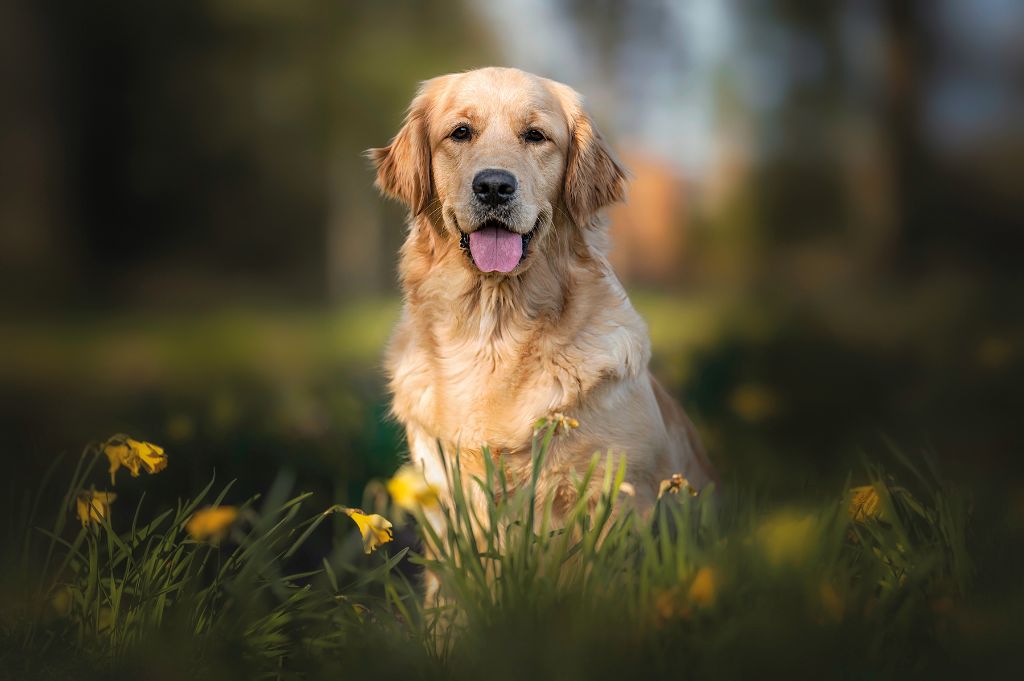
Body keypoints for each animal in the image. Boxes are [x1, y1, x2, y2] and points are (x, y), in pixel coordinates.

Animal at [372, 65, 716, 532]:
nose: (494, 186)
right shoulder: (441, 498)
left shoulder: (625, 494)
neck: (494, 331)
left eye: (535, 136)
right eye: (460, 132)